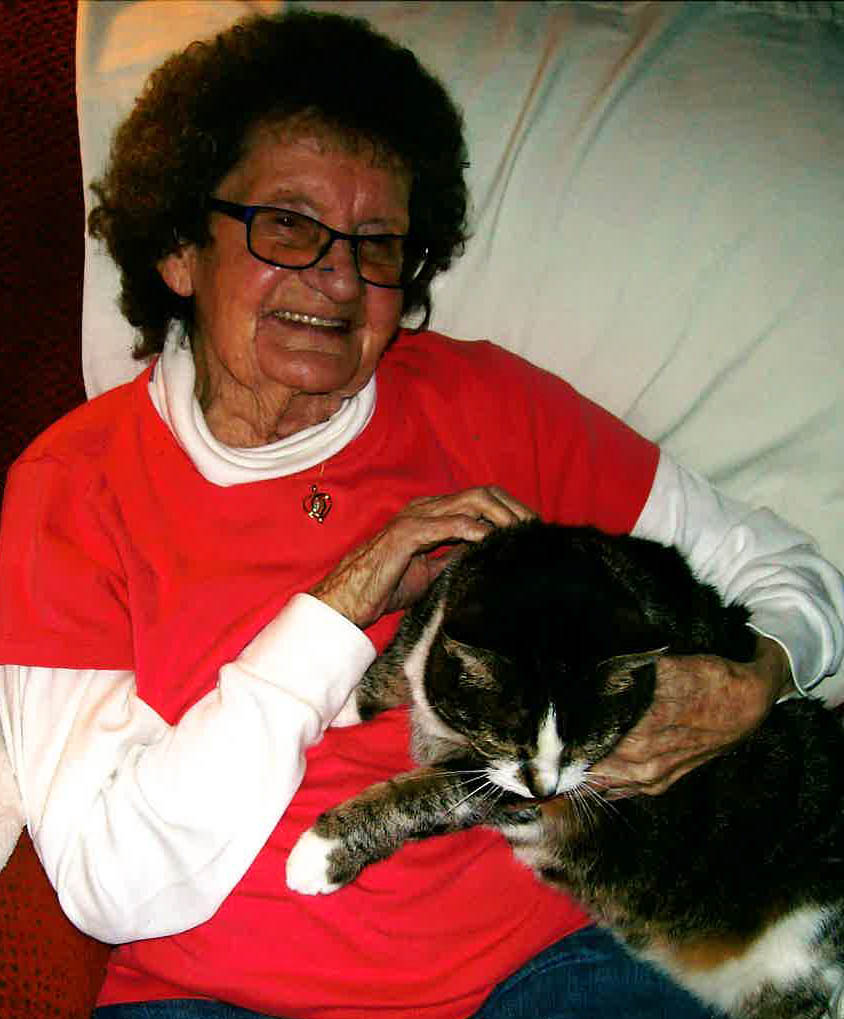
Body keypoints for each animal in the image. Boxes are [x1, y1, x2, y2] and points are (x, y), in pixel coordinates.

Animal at [286, 520, 844, 1019]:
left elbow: (421, 794)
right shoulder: (440, 615)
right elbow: (400, 657)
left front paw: (322, 851)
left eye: (589, 745)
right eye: (507, 737)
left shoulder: (509, 782)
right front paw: (346, 697)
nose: (544, 788)